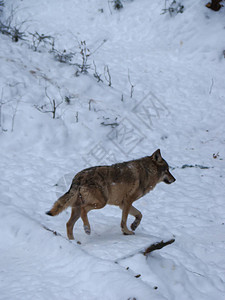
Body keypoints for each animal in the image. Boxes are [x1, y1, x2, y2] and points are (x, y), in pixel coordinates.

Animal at [46, 149, 176, 239]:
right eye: (167, 170)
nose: (174, 179)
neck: (147, 172)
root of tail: (78, 177)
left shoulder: (123, 204)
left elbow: (140, 214)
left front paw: (133, 226)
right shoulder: (128, 201)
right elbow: (124, 220)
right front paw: (127, 231)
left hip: (79, 208)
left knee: (69, 224)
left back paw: (73, 242)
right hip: (101, 203)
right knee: (83, 211)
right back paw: (87, 229)